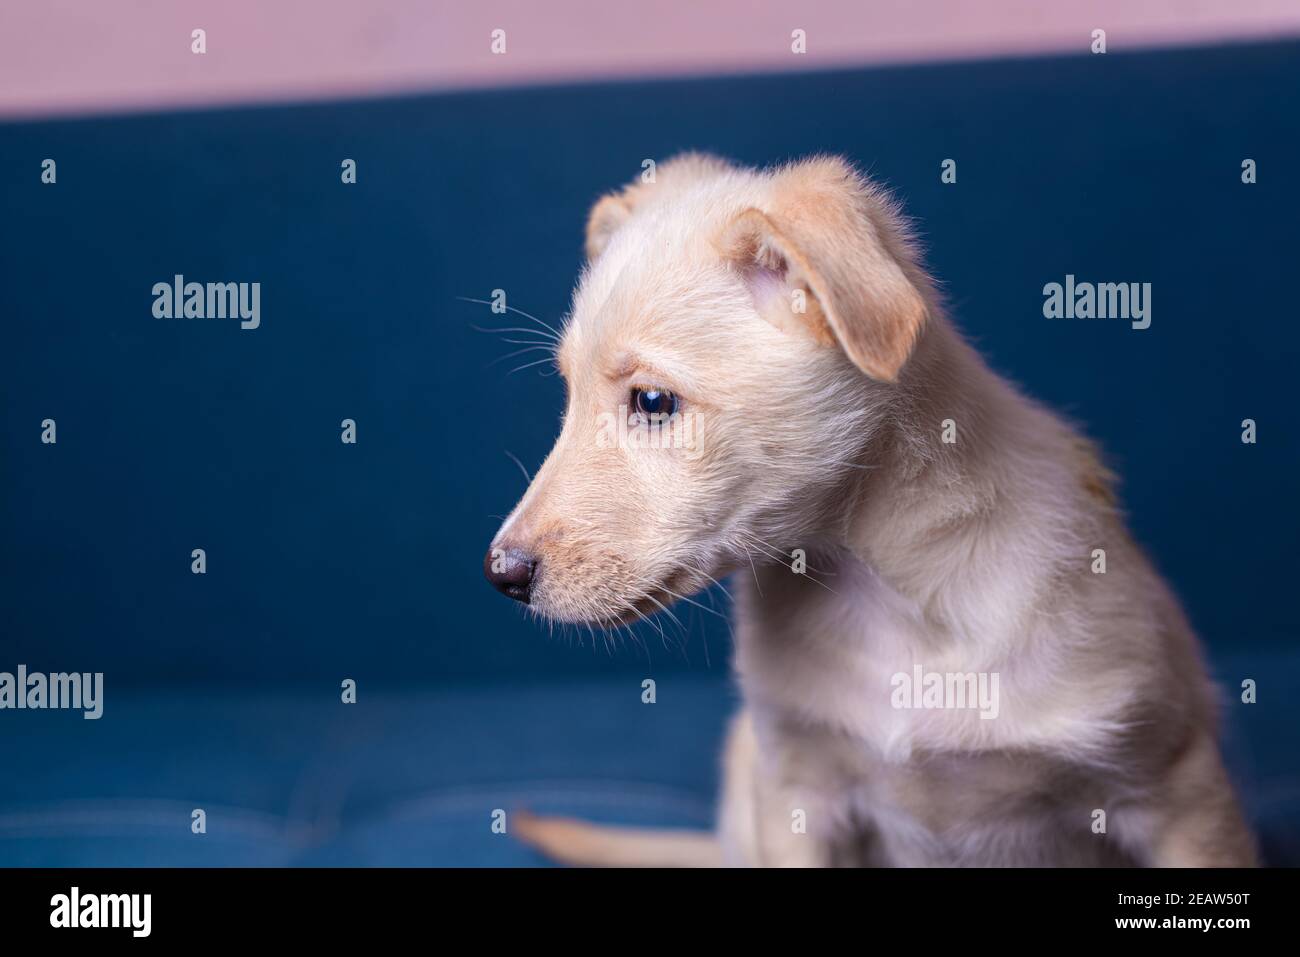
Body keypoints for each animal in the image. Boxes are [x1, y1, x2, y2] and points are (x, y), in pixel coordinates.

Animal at [483, 151, 1253, 868]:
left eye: (651, 401)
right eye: (568, 392)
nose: (500, 575)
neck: (886, 594)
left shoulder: (1178, 789)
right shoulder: (796, 798)